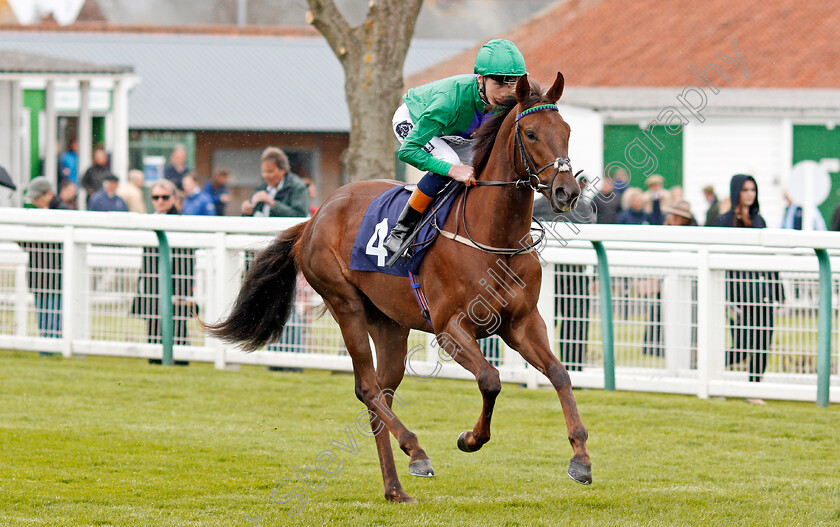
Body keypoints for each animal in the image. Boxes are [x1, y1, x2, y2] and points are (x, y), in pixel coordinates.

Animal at [207, 73, 592, 504]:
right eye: (530, 133)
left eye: (567, 131)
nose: (567, 192)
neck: (494, 237)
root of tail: (315, 216)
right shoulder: (450, 330)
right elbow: (490, 380)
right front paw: (470, 438)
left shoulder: (522, 322)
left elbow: (559, 373)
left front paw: (580, 459)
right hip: (345, 304)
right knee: (368, 389)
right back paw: (417, 452)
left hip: (389, 323)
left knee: (381, 393)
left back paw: (395, 487)